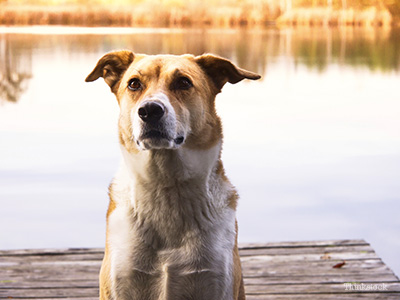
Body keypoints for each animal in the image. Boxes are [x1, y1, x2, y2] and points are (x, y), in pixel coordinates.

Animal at [85, 50, 260, 298]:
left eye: (183, 82)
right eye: (134, 84)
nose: (149, 110)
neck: (165, 185)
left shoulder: (216, 281)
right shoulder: (121, 281)